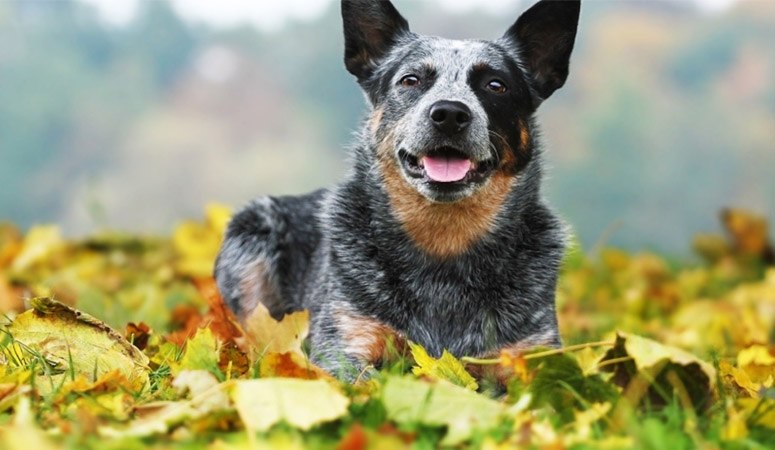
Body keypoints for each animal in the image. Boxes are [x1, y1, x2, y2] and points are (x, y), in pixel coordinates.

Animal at [215, 0, 580, 382]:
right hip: (252, 232)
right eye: (411, 80)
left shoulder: (531, 354)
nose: (450, 113)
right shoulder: (346, 344)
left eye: (496, 85)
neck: (444, 245)